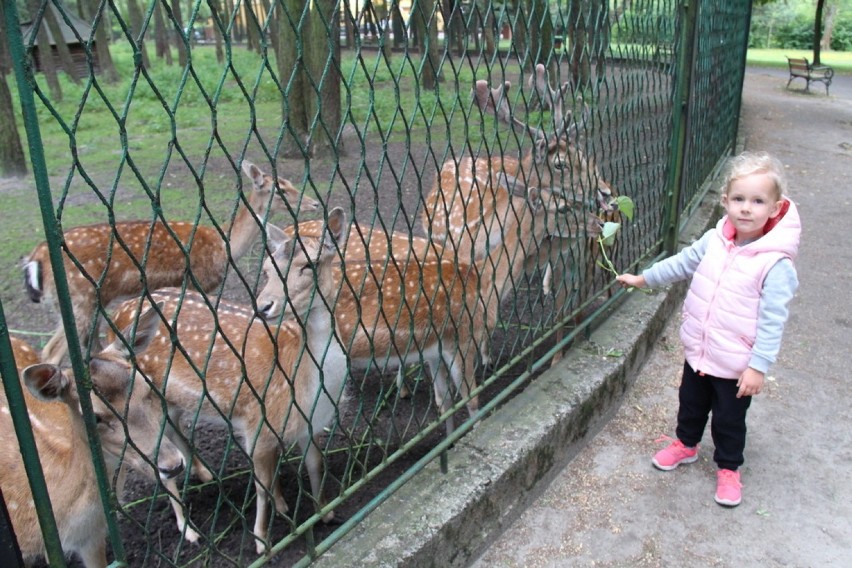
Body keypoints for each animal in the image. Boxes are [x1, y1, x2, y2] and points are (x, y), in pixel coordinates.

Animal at [21, 160, 318, 364]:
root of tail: (35, 259)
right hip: (78, 299)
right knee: (51, 353)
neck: (224, 246)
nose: (315, 203)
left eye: (290, 181)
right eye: (280, 190)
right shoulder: (197, 282)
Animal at [108, 207, 352, 552]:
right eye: (267, 268)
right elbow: (261, 485)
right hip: (140, 400)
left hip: (168, 398)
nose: (264, 305)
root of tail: (117, 318)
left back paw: (203, 472)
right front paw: (262, 541)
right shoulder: (257, 423)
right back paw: (189, 529)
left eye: (309, 265)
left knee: (176, 427)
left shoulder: (306, 424)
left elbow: (315, 463)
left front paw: (324, 513)